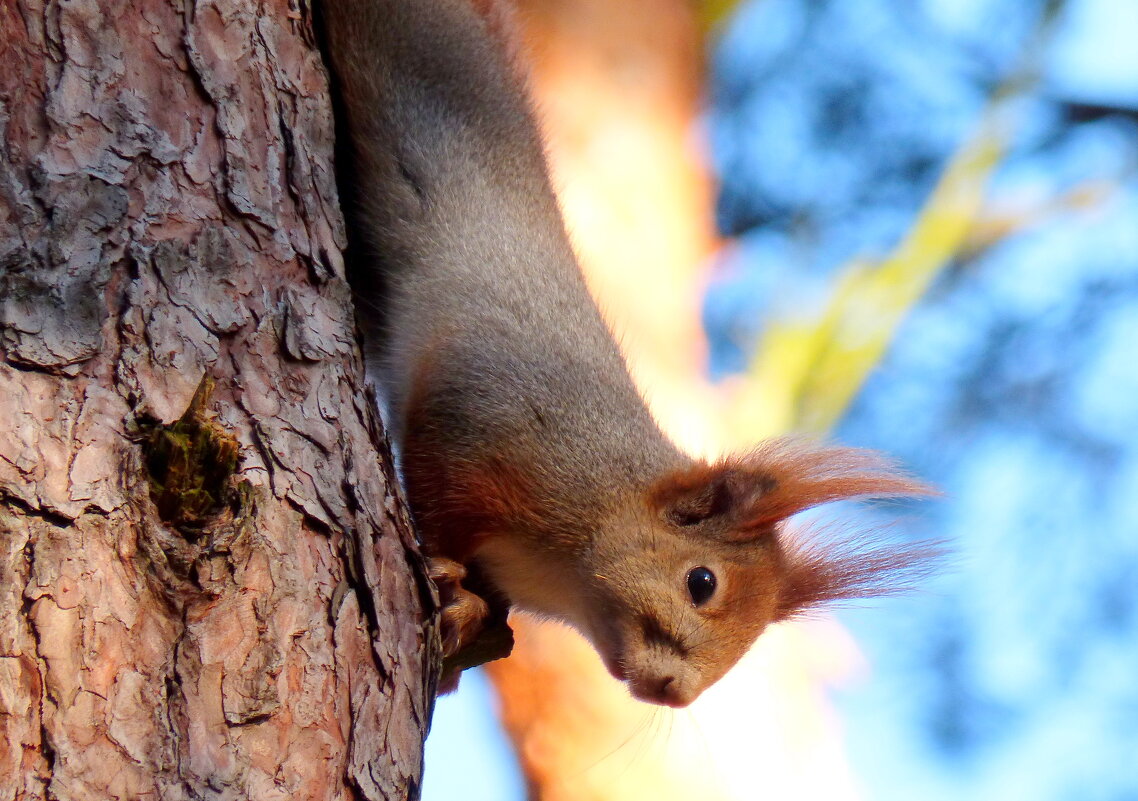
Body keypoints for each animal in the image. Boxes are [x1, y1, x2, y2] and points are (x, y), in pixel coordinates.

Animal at [318, 0, 933, 705]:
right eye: (702, 582)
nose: (675, 692)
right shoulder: (482, 429)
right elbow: (437, 495)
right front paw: (449, 581)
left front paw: (469, 621)